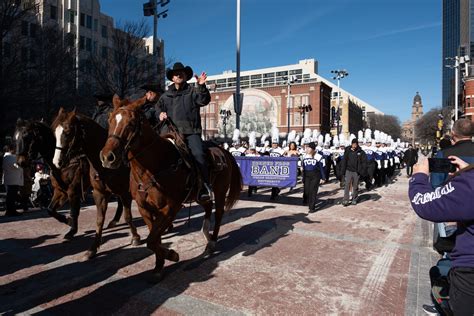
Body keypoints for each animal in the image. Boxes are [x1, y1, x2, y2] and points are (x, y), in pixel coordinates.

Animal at [52, 108, 141, 260]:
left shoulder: (125, 191)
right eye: (55, 133)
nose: (57, 162)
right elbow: (99, 220)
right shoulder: (99, 193)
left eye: (68, 132)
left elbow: (128, 216)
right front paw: (92, 249)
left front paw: (135, 237)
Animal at [98, 95, 243, 278]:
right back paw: (206, 235)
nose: (107, 157)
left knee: (218, 214)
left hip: (220, 191)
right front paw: (159, 266)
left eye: (131, 123)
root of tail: (224, 152)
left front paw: (171, 255)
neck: (155, 166)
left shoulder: (170, 208)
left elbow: (151, 241)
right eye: (110, 120)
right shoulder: (144, 208)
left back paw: (212, 243)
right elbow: (154, 239)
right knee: (208, 207)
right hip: (199, 195)